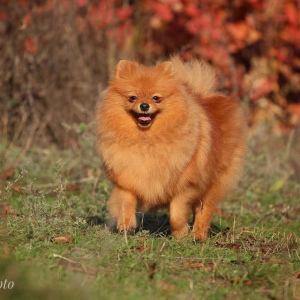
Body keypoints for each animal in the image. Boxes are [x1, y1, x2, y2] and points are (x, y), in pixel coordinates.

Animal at [96, 55, 246, 239]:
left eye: (156, 98)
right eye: (132, 97)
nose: (144, 105)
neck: (146, 140)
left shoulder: (185, 186)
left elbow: (177, 214)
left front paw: (180, 235)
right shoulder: (126, 179)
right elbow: (126, 203)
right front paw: (125, 225)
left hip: (214, 180)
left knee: (204, 209)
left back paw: (198, 235)